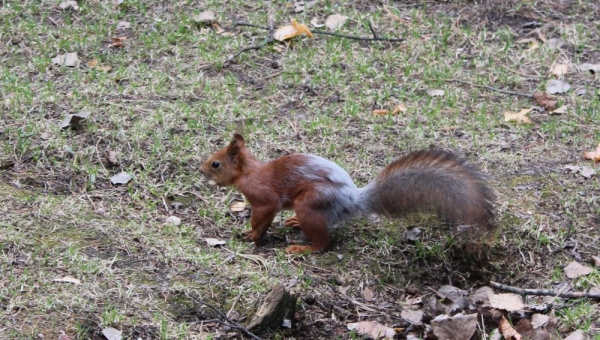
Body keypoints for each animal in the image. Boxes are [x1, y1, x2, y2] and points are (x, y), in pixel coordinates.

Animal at [199, 134, 494, 254]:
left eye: (216, 164)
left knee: (324, 243)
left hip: (310, 203)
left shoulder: (263, 199)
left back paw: (302, 248)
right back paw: (294, 223)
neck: (248, 172)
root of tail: (352, 201)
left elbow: (262, 217)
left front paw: (252, 235)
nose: (200, 169)